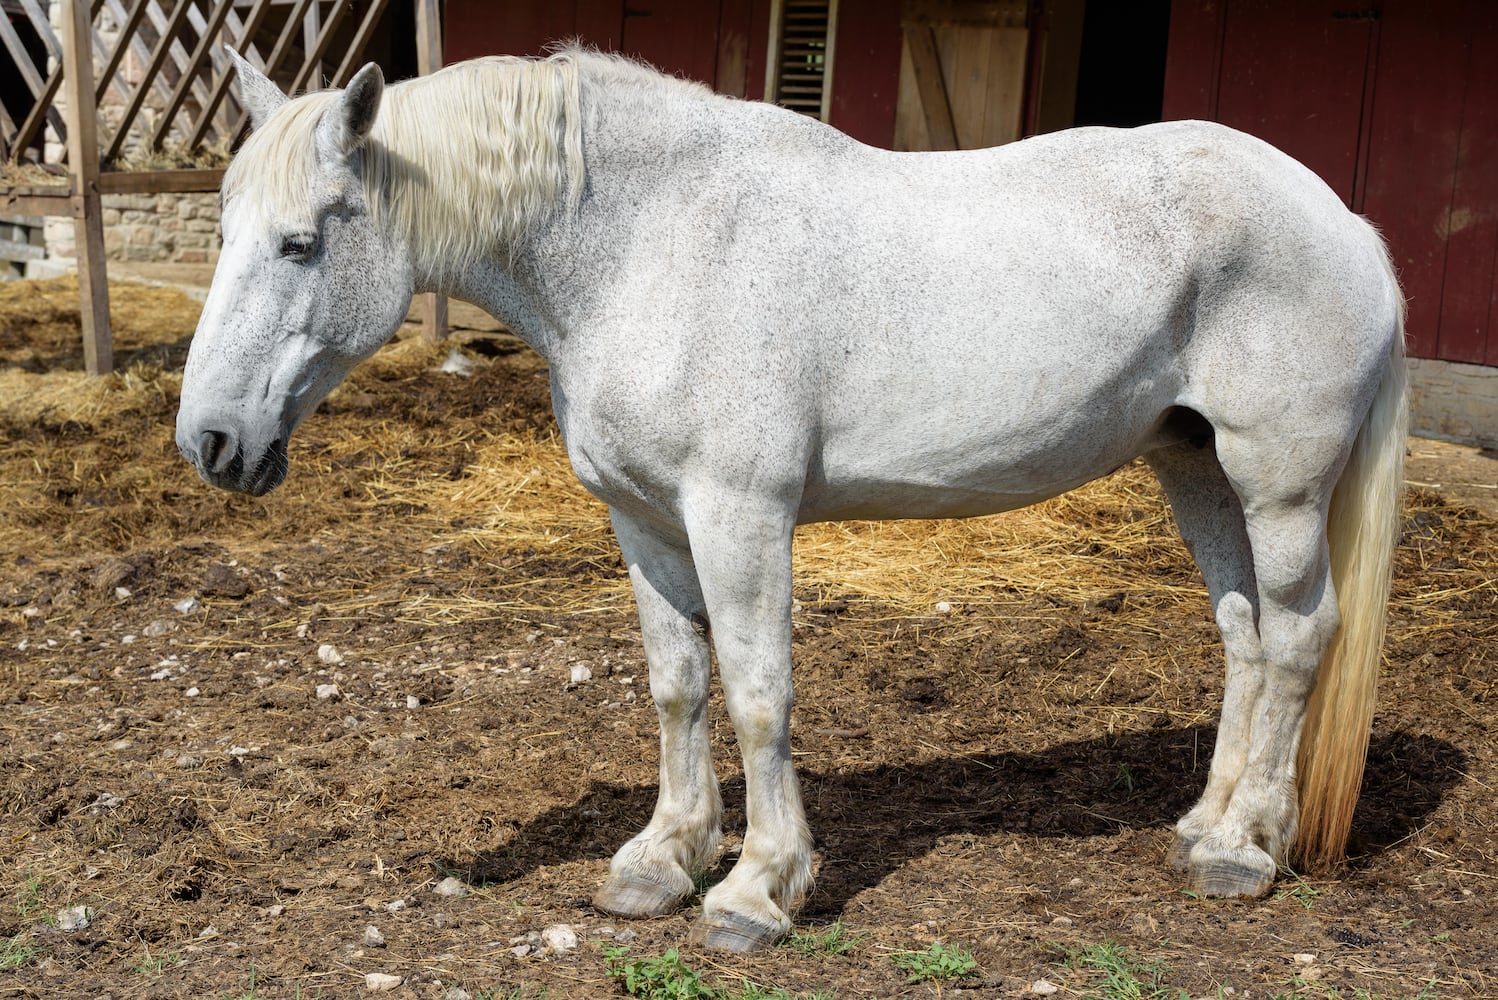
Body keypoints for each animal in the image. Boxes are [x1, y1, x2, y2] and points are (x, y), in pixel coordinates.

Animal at [175, 48, 1402, 952]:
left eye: (299, 242)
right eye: (225, 230)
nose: (211, 442)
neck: (645, 244)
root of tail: (1346, 223)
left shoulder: (739, 515)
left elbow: (759, 695)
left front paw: (757, 889)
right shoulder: (645, 521)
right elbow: (677, 687)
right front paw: (662, 859)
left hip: (1278, 485)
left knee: (1300, 637)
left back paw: (1246, 848)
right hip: (1196, 470)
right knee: (1245, 639)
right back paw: (1203, 827)